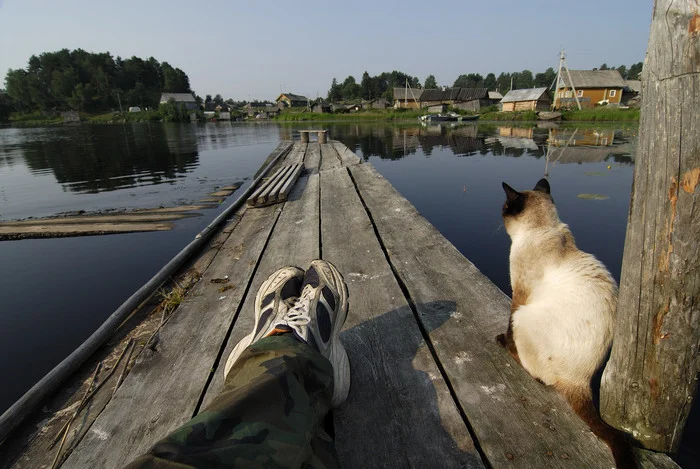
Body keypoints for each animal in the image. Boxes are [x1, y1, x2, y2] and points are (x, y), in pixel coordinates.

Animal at [498, 177, 636, 466]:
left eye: (505, 207)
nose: (500, 214)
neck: (545, 229)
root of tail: (581, 382)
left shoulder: (519, 296)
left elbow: (508, 325)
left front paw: (503, 340)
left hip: (524, 317)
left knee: (537, 374)